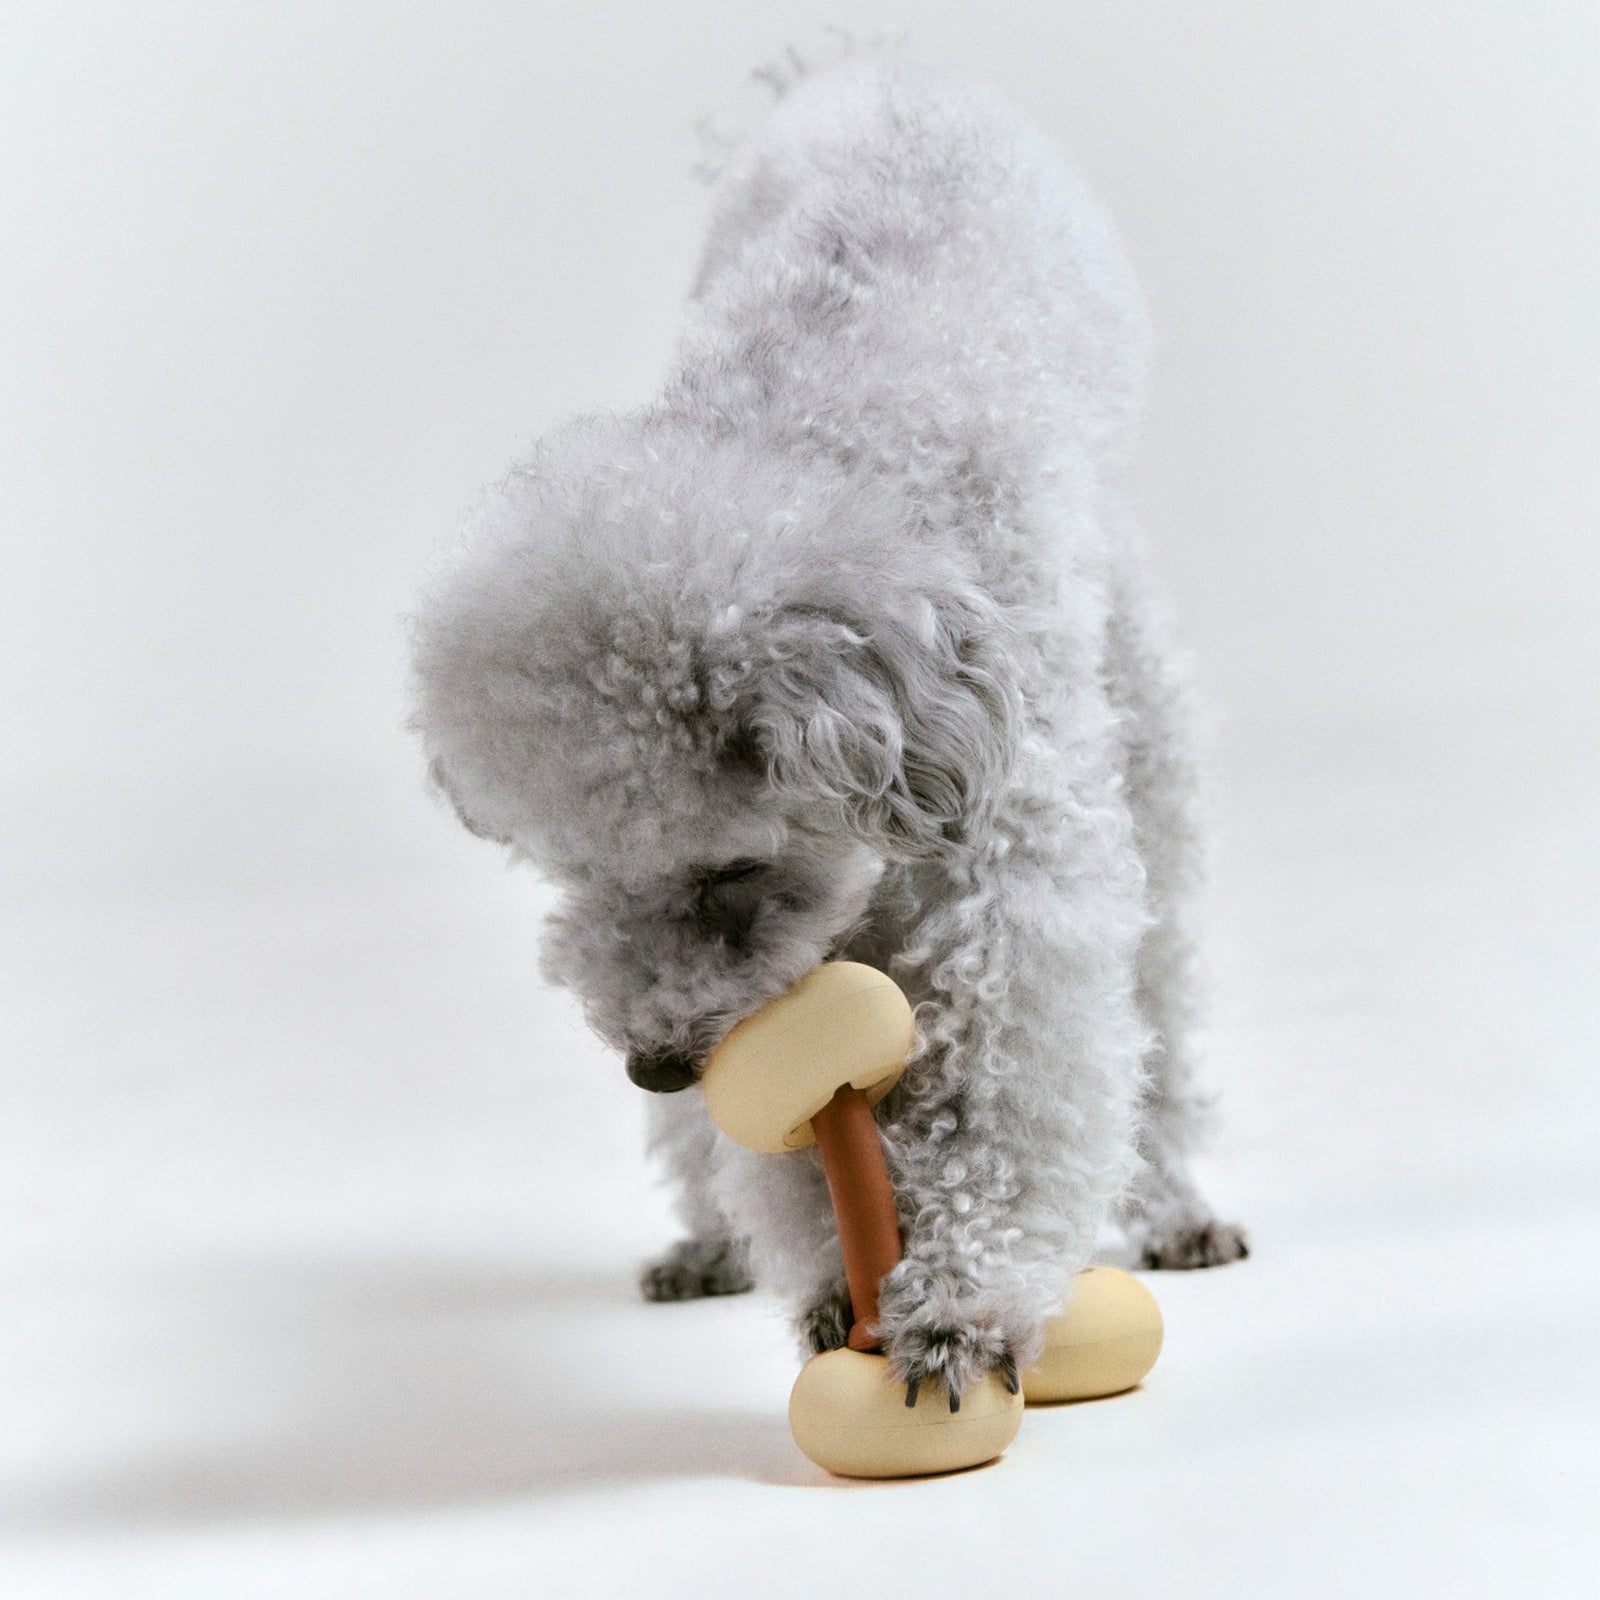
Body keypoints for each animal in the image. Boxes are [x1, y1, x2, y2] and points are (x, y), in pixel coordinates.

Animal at [410, 48, 1246, 1405]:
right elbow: (779, 1143)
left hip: (1148, 763)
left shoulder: (1009, 855)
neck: (818, 446)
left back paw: (1175, 1205)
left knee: (1158, 1017)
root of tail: (857, 65)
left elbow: (1005, 1077)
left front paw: (955, 1303)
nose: (653, 1064)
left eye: (731, 870)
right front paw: (825, 1282)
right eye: (578, 877)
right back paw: (705, 1242)